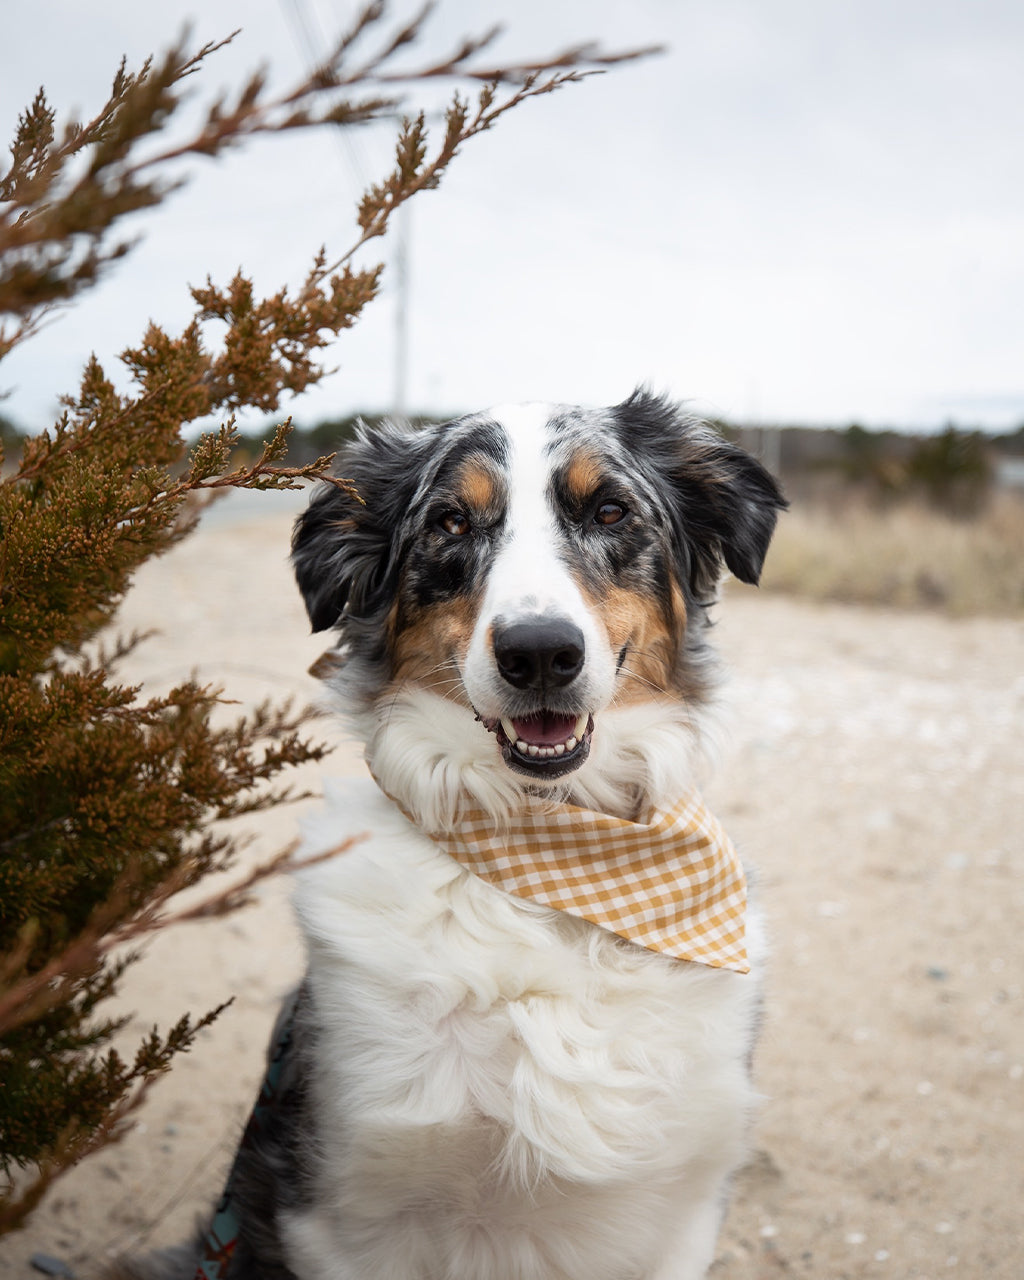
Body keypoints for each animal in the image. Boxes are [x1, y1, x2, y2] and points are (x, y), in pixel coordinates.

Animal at [120, 389, 783, 1280]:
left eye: (611, 510)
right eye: (451, 523)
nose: (539, 653)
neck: (558, 861)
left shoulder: (678, 1224)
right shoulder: (342, 1215)